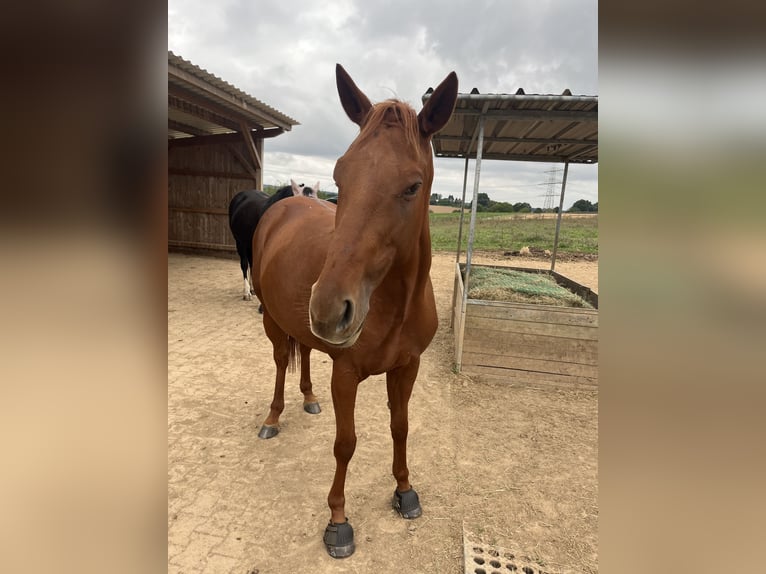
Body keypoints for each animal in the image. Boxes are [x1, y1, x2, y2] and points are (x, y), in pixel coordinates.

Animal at [252, 65, 460, 560]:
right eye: (340, 178)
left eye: (413, 186)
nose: (329, 308)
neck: (393, 305)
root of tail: (284, 203)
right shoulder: (346, 374)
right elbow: (345, 444)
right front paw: (338, 521)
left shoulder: (407, 367)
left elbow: (400, 427)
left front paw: (404, 491)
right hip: (273, 322)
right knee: (280, 363)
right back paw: (273, 419)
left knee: (306, 353)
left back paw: (309, 399)